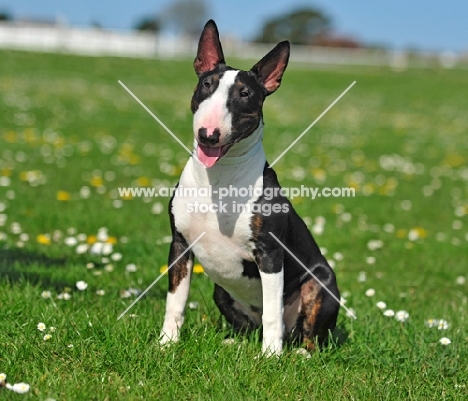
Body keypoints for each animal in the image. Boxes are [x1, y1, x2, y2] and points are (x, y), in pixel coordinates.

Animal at [161, 20, 340, 354]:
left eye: (244, 93)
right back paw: (235, 341)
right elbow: (175, 300)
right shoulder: (180, 244)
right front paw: (165, 344)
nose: (208, 134)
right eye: (207, 85)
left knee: (305, 332)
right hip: (220, 292)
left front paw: (271, 357)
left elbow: (272, 312)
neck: (219, 176)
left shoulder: (269, 253)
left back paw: (298, 352)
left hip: (320, 285)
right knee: (248, 324)